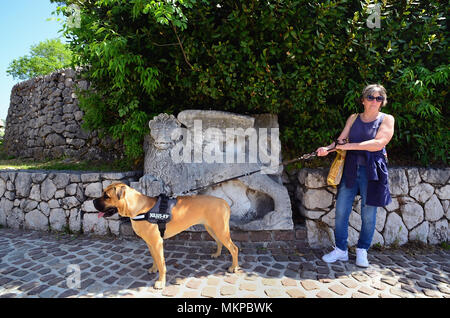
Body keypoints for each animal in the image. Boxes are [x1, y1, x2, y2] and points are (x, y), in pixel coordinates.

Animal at [92, 183, 239, 290]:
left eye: (106, 196)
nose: (92, 201)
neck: (139, 209)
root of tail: (224, 202)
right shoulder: (150, 242)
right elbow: (155, 258)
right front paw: (153, 269)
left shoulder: (157, 242)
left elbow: (162, 263)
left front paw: (161, 282)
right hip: (212, 228)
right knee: (219, 242)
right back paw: (217, 254)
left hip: (220, 229)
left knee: (234, 248)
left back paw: (234, 267)